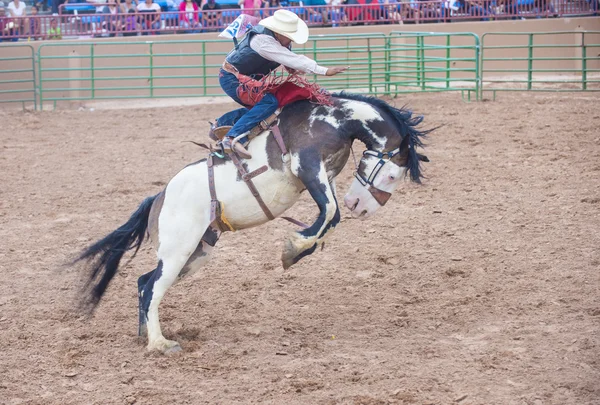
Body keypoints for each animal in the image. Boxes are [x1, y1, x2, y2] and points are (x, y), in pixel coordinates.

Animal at [75, 92, 432, 354]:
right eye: (391, 175)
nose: (362, 207)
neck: (335, 119)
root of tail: (159, 197)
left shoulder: (323, 177)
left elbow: (331, 217)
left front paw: (297, 250)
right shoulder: (308, 166)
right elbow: (330, 211)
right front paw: (293, 248)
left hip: (196, 253)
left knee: (143, 282)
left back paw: (144, 337)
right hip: (178, 252)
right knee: (151, 287)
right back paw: (160, 344)